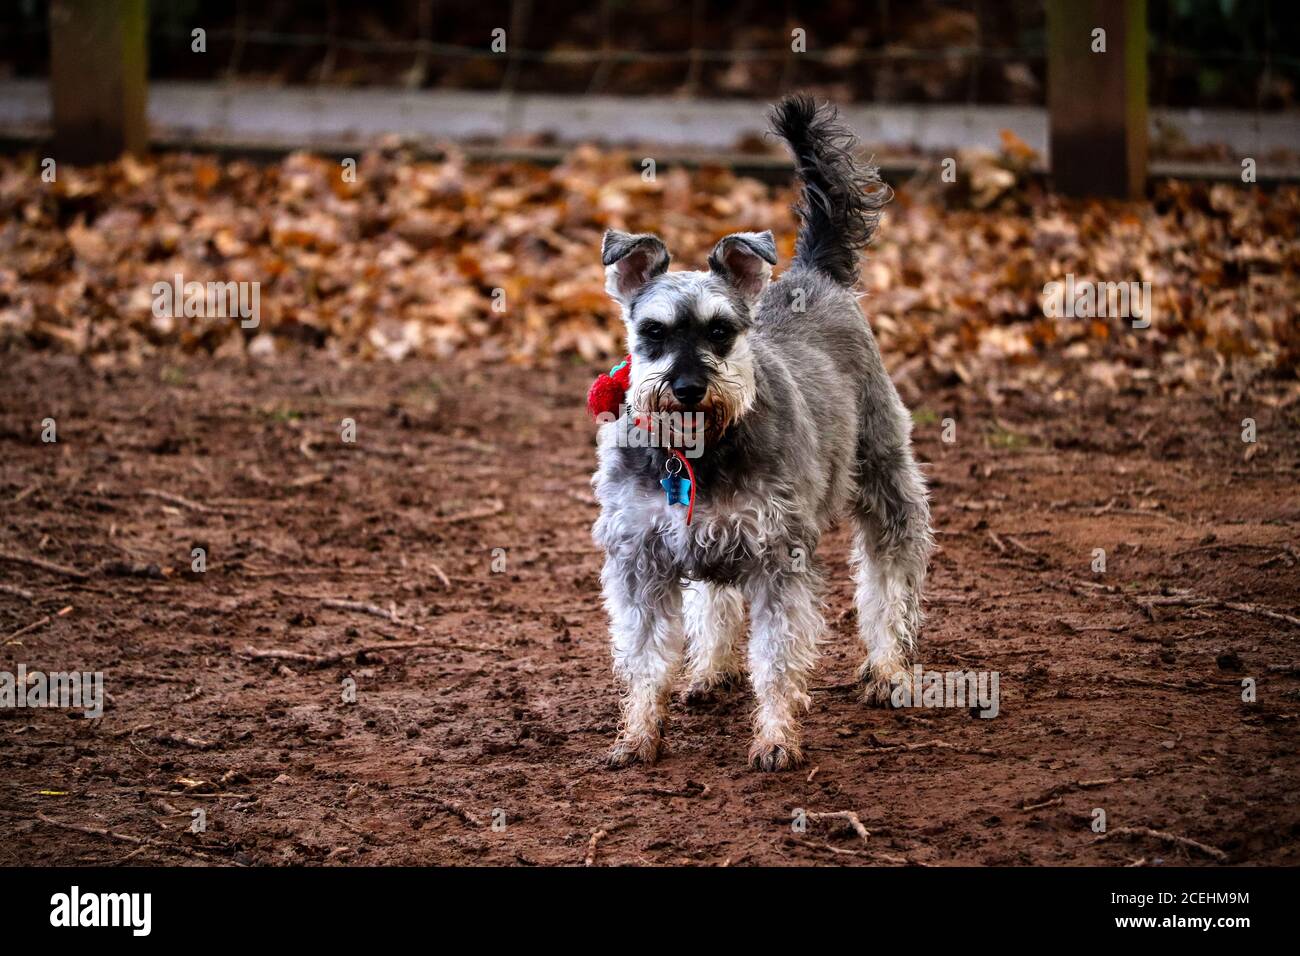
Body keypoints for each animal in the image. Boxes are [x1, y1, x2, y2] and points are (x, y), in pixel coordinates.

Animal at [590, 95, 935, 770]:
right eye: (653, 332)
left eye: (722, 331)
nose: (688, 388)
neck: (696, 454)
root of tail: (812, 273)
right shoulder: (641, 560)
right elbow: (646, 659)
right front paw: (638, 734)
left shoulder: (780, 559)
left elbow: (777, 659)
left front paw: (776, 739)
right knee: (714, 599)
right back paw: (708, 671)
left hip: (886, 478)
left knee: (892, 575)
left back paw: (888, 668)